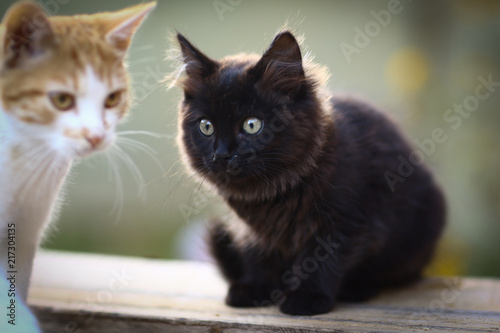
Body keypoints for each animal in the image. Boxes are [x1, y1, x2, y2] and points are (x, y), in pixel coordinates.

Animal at [175, 32, 446, 316]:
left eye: (252, 125)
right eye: (206, 127)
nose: (222, 154)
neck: (273, 193)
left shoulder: (345, 222)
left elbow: (320, 260)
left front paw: (306, 298)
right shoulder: (254, 232)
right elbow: (258, 256)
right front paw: (256, 288)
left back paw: (358, 288)